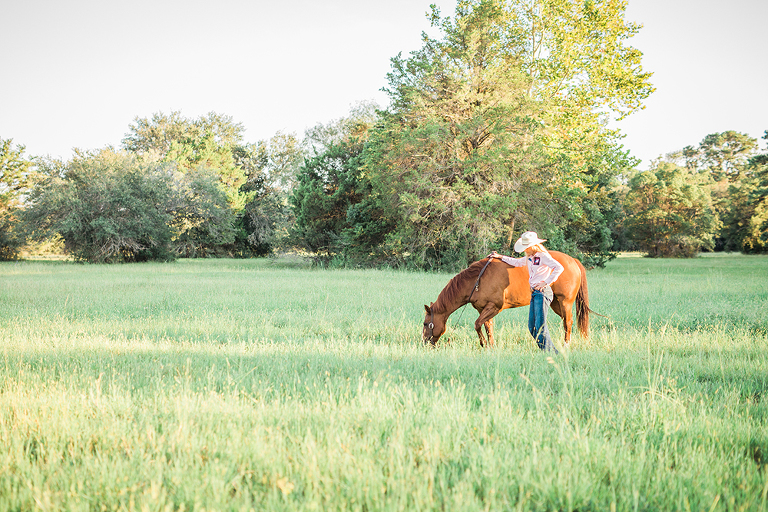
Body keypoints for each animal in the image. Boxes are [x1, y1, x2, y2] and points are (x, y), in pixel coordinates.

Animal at [422, 251, 591, 348]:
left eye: (425, 324)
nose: (424, 342)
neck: (477, 280)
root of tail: (573, 260)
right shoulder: (484, 310)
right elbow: (487, 327)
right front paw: (491, 345)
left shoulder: (494, 307)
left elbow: (477, 325)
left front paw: (483, 344)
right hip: (556, 303)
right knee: (565, 322)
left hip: (565, 302)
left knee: (568, 322)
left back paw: (566, 344)